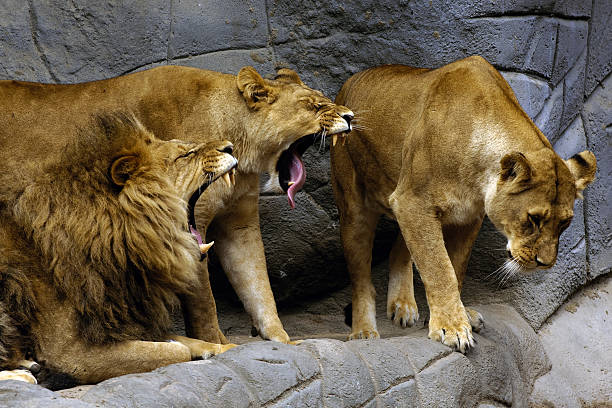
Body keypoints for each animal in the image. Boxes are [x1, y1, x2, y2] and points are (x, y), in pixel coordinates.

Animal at [0, 66, 354, 344]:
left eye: (324, 99)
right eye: (314, 105)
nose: (350, 116)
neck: (242, 151)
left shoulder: (239, 223)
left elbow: (258, 285)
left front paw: (283, 341)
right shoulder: (186, 222)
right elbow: (205, 301)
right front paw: (220, 345)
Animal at [0, 115, 237, 386]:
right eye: (185, 154)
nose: (230, 147)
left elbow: (189, 341)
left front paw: (226, 347)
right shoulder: (71, 352)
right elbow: (175, 350)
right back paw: (24, 374)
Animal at [332, 55, 596, 352]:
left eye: (565, 223)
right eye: (533, 219)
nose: (544, 264)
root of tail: (348, 84)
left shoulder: (465, 217)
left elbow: (455, 267)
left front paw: (456, 318)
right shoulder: (413, 200)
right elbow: (439, 268)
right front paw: (452, 328)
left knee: (399, 249)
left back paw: (403, 305)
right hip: (355, 206)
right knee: (361, 278)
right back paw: (363, 331)